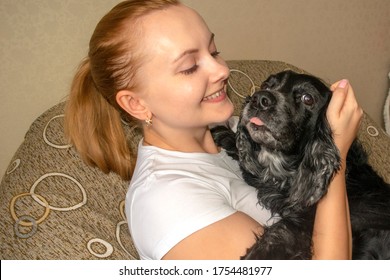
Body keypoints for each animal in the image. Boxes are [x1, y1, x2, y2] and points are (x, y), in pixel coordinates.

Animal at [212, 71, 390, 260]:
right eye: (266, 85)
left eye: (308, 99)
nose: (259, 99)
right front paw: (223, 135)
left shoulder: (302, 226)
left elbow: (278, 235)